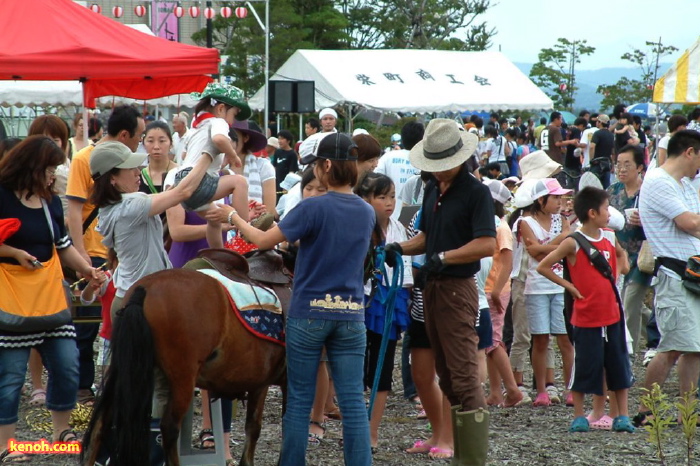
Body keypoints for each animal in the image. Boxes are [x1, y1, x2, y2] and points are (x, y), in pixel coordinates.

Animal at [81, 255, 290, 466]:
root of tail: (143, 289)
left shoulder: (260, 382)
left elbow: (253, 426)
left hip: (125, 368)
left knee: (102, 422)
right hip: (182, 378)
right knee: (169, 427)